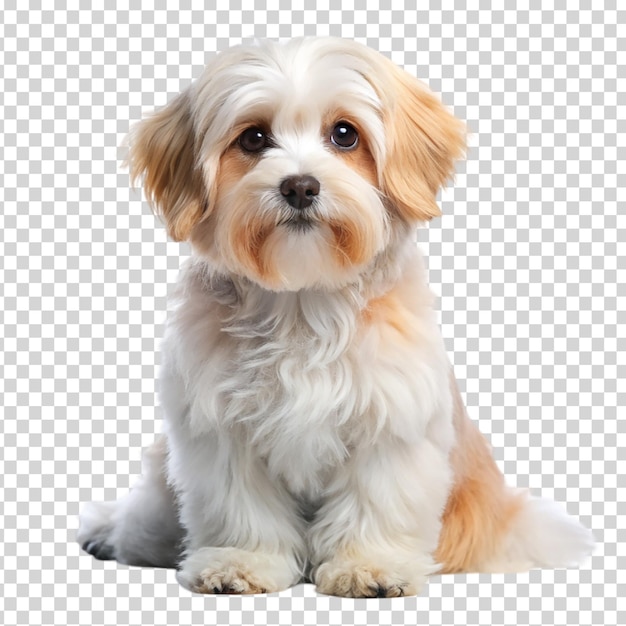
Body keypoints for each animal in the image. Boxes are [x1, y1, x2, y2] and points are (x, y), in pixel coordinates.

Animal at [75, 35, 592, 596]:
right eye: (253, 138)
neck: (303, 303)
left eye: (345, 134)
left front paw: (371, 566)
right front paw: (243, 562)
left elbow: (376, 499)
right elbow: (242, 507)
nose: (300, 186)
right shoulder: (220, 432)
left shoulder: (390, 424)